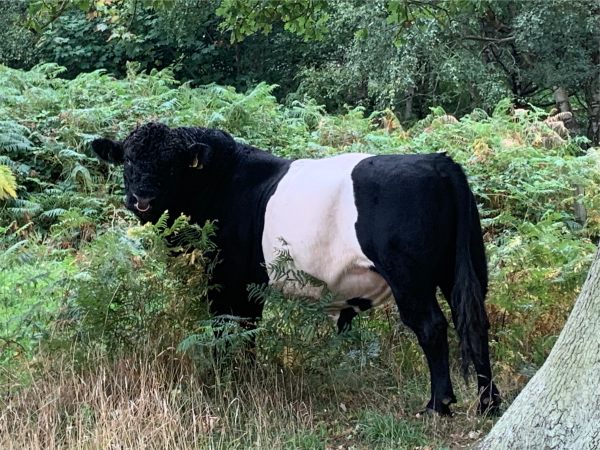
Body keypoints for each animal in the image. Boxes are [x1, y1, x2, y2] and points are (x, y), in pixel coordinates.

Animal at [92, 122, 502, 414]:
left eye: (170, 165)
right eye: (128, 160)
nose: (141, 198)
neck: (218, 183)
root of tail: (437, 161)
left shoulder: (224, 278)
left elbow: (224, 329)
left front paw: (222, 381)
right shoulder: (250, 284)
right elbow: (248, 331)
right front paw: (246, 377)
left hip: (409, 278)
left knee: (432, 327)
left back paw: (438, 405)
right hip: (462, 268)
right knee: (474, 322)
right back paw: (488, 403)